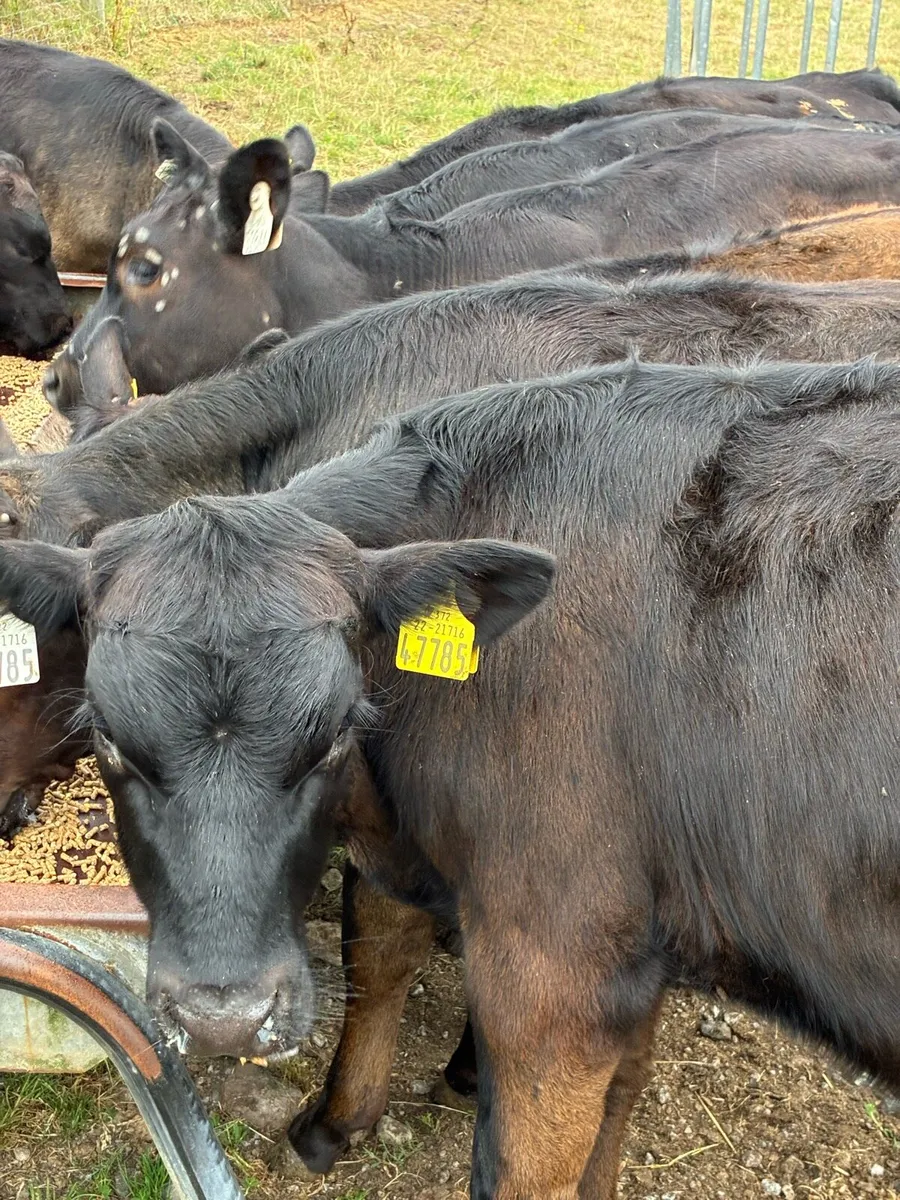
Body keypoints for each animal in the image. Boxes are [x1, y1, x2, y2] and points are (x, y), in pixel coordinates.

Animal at [1, 357, 900, 1200]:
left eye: (339, 729)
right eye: (107, 733)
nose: (225, 1018)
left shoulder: (554, 959)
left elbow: (522, 1164)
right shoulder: (632, 927)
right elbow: (397, 961)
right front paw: (335, 1123)